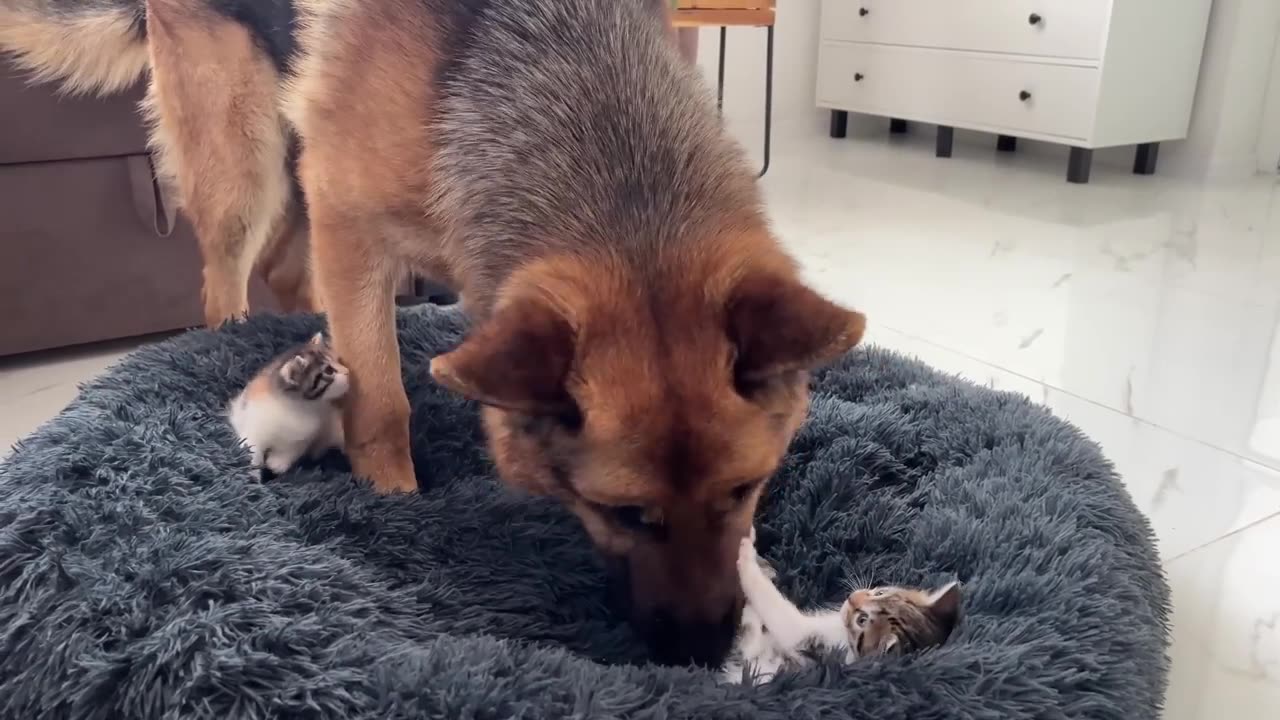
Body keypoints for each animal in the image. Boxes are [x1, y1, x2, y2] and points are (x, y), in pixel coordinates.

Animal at [227, 333, 350, 476]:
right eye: (329, 371)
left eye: (337, 360)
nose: (348, 372)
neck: (295, 406)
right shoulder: (254, 426)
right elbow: (251, 449)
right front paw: (251, 475)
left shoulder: (307, 433)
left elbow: (294, 449)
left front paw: (277, 463)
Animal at [721, 535, 962, 681]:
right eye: (880, 592)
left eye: (862, 620)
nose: (852, 597)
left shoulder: (808, 640)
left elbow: (772, 607)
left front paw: (746, 555)